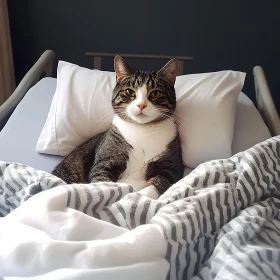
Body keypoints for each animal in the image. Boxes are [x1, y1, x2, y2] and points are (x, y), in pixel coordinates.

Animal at [52, 55, 184, 199]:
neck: (142, 130)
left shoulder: (171, 167)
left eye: (155, 93)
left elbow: (157, 182)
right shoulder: (105, 162)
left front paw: (137, 198)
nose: (141, 105)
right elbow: (106, 184)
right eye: (129, 91)